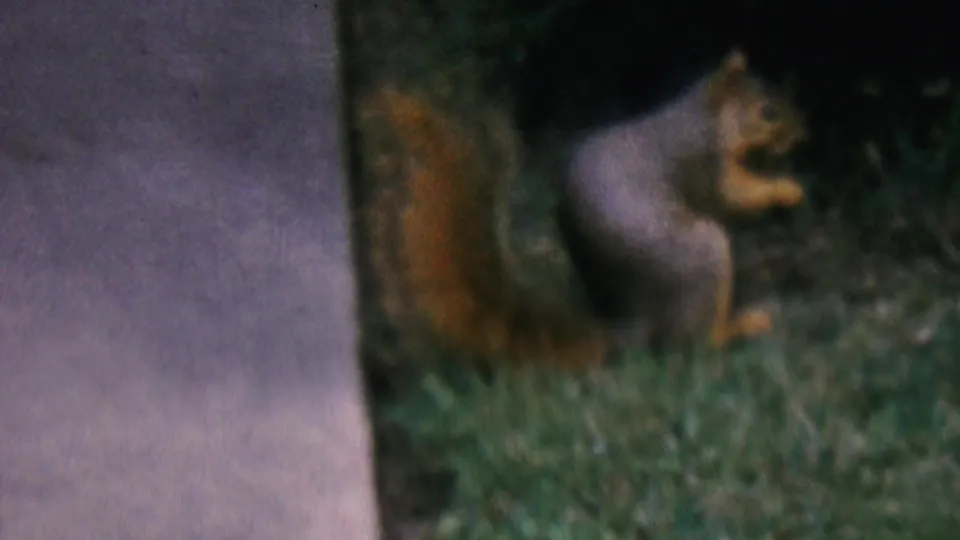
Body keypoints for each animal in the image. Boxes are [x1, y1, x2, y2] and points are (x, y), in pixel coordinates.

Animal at [359, 49, 807, 369]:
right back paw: (740, 326)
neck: (702, 116)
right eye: (767, 112)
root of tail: (631, 324)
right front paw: (785, 189)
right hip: (703, 256)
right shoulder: (702, 162)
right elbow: (733, 196)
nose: (802, 135)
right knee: (689, 344)